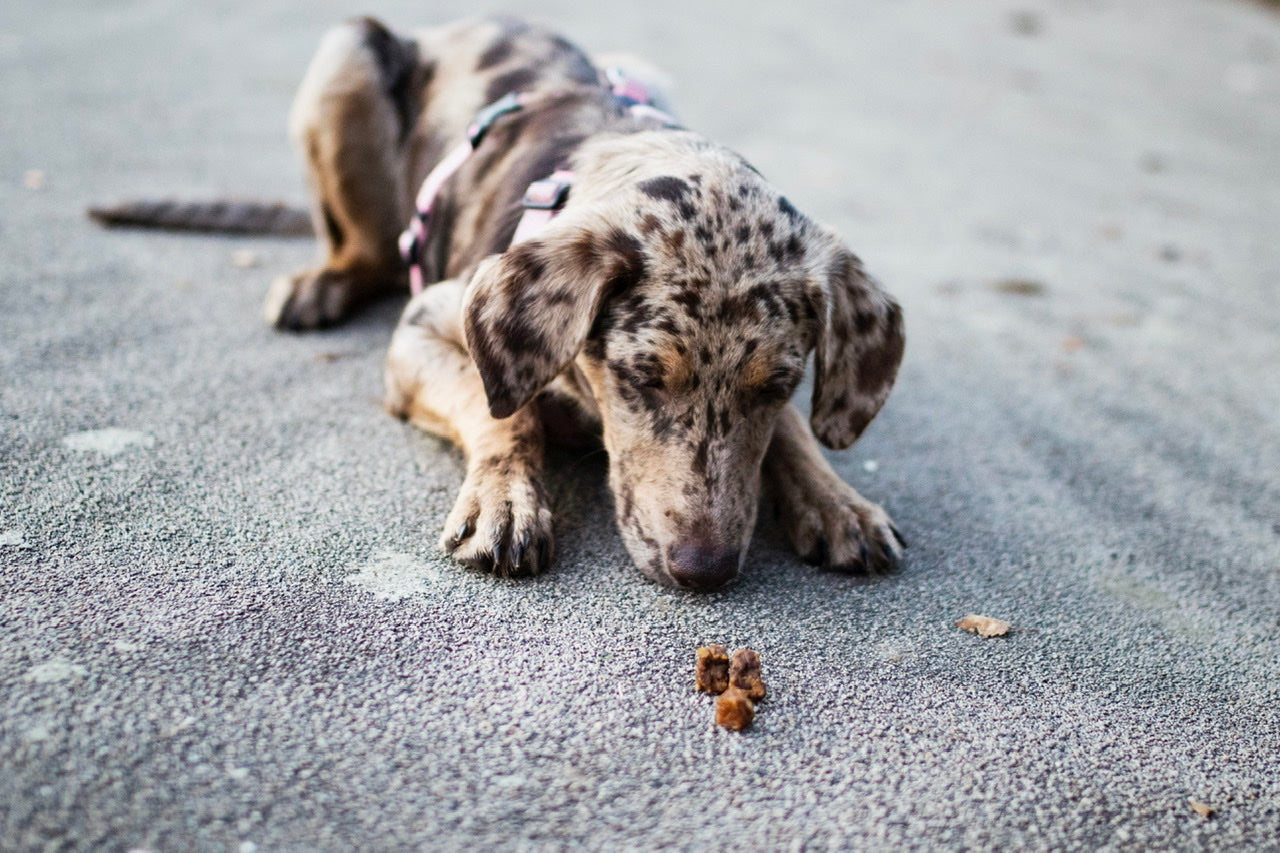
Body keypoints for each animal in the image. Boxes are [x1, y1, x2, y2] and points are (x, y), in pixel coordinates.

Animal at [110, 16, 906, 589]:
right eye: (640, 378)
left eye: (779, 385)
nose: (703, 573)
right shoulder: (421, 328)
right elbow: (500, 408)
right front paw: (504, 500)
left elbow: (793, 434)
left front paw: (838, 500)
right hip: (347, 56)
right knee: (361, 250)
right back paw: (320, 282)